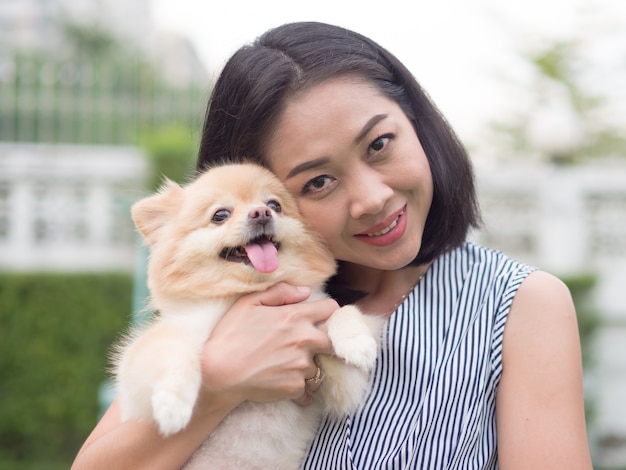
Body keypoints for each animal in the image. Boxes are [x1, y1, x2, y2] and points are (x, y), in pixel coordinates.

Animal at [114, 162, 382, 470]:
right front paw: (173, 405)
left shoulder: (343, 387)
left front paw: (357, 343)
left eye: (275, 205)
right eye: (220, 215)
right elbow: (174, 357)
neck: (246, 291)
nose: (261, 212)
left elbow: (341, 310)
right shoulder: (160, 350)